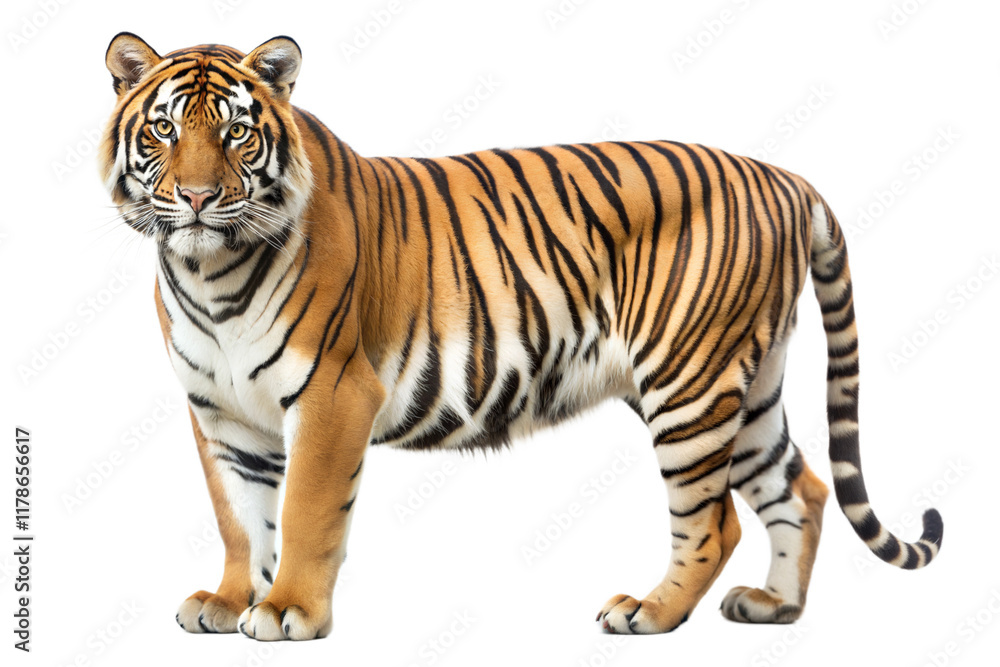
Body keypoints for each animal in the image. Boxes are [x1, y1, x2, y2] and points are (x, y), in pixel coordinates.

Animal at [100, 33, 943, 641]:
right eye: (164, 129)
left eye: (237, 134)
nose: (198, 197)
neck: (209, 272)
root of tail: (786, 177)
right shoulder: (221, 410)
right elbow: (240, 515)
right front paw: (228, 599)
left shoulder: (334, 392)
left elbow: (305, 510)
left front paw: (285, 610)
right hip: (747, 382)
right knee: (801, 487)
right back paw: (774, 607)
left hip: (688, 381)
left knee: (714, 521)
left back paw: (649, 611)